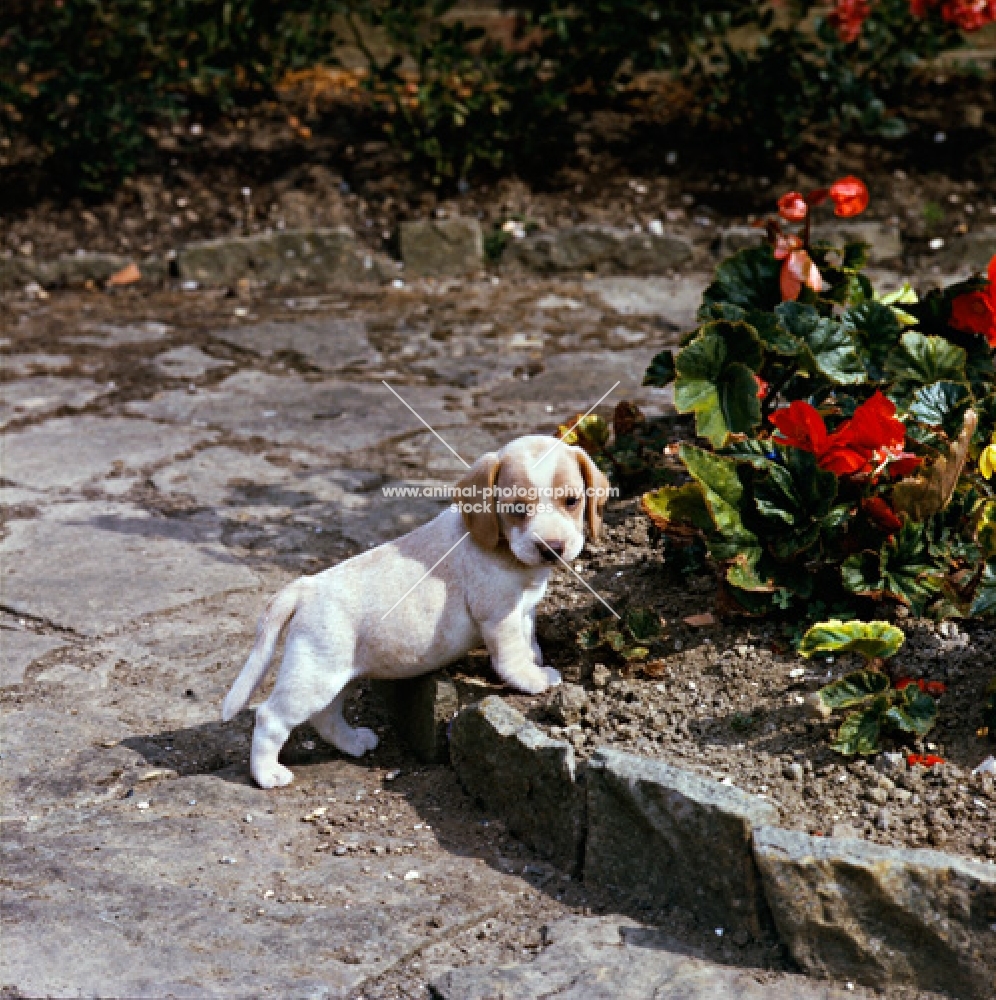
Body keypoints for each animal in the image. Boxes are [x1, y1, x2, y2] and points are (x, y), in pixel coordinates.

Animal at [222, 436, 612, 788]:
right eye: (517, 509)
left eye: (572, 501)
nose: (553, 547)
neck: (504, 549)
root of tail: (305, 587)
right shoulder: (498, 616)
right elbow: (512, 657)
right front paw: (532, 679)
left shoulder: (524, 610)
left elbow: (529, 638)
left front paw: (536, 659)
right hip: (312, 677)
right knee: (270, 717)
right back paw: (267, 774)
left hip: (339, 676)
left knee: (326, 715)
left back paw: (353, 742)